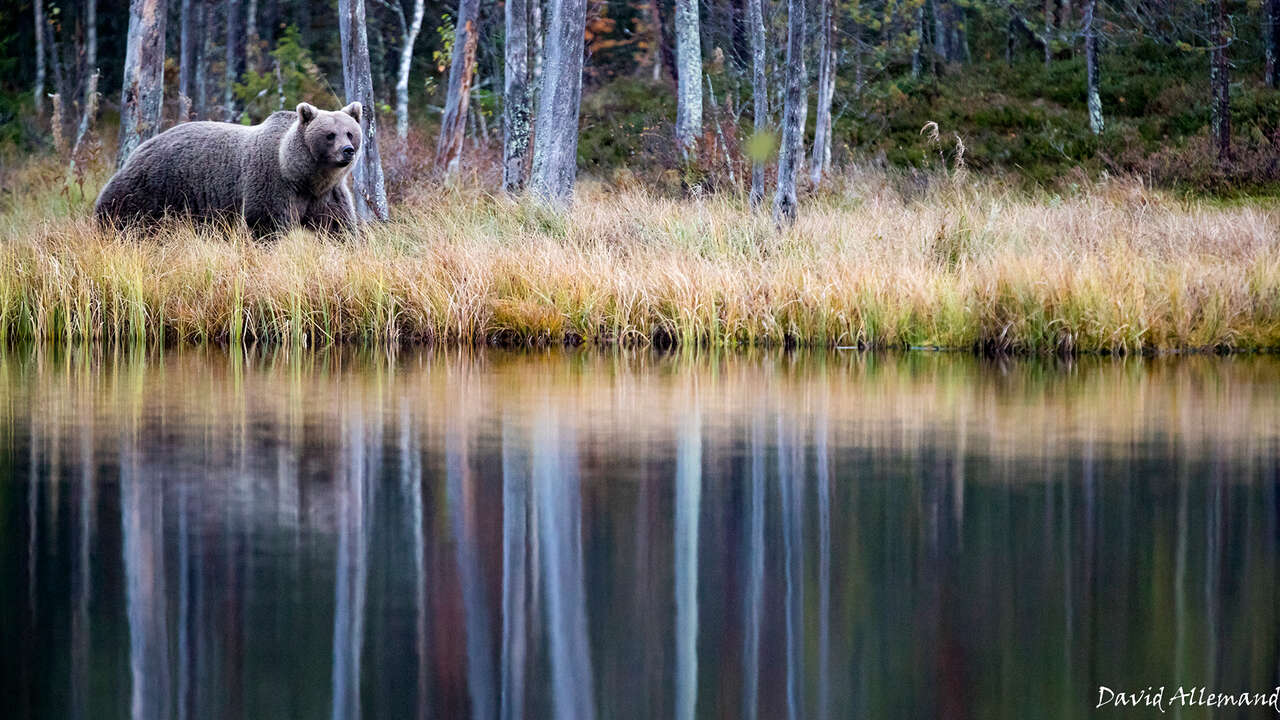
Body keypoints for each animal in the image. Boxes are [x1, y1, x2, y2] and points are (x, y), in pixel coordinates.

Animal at [92, 101, 363, 235]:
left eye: (350, 132)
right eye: (330, 135)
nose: (347, 150)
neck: (300, 175)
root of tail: (139, 148)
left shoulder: (326, 194)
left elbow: (338, 225)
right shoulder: (271, 183)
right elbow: (264, 223)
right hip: (154, 185)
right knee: (123, 212)